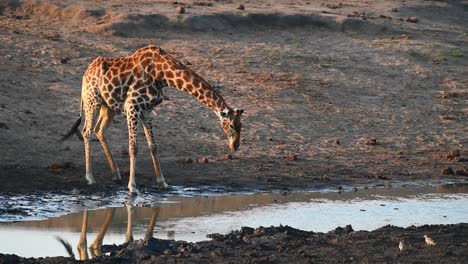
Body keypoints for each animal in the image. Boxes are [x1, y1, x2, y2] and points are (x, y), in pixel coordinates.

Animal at [61, 46, 245, 194]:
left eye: (241, 125)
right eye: (230, 125)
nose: (235, 146)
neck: (162, 74)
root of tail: (86, 73)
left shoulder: (147, 111)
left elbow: (153, 146)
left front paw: (163, 182)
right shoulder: (133, 107)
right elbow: (133, 147)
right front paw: (132, 186)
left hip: (109, 106)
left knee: (99, 130)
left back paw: (116, 173)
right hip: (92, 101)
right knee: (87, 131)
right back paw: (90, 177)